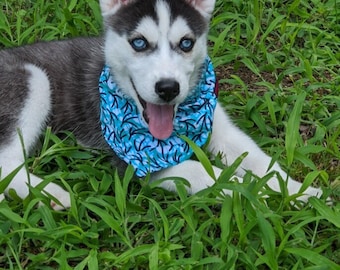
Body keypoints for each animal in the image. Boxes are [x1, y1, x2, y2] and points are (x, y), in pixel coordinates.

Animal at [0, 0, 324, 209]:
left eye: (186, 43)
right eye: (139, 43)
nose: (168, 88)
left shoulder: (220, 128)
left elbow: (260, 161)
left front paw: (299, 191)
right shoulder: (141, 161)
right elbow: (213, 176)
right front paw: (255, 192)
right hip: (33, 78)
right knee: (7, 166)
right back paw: (55, 195)